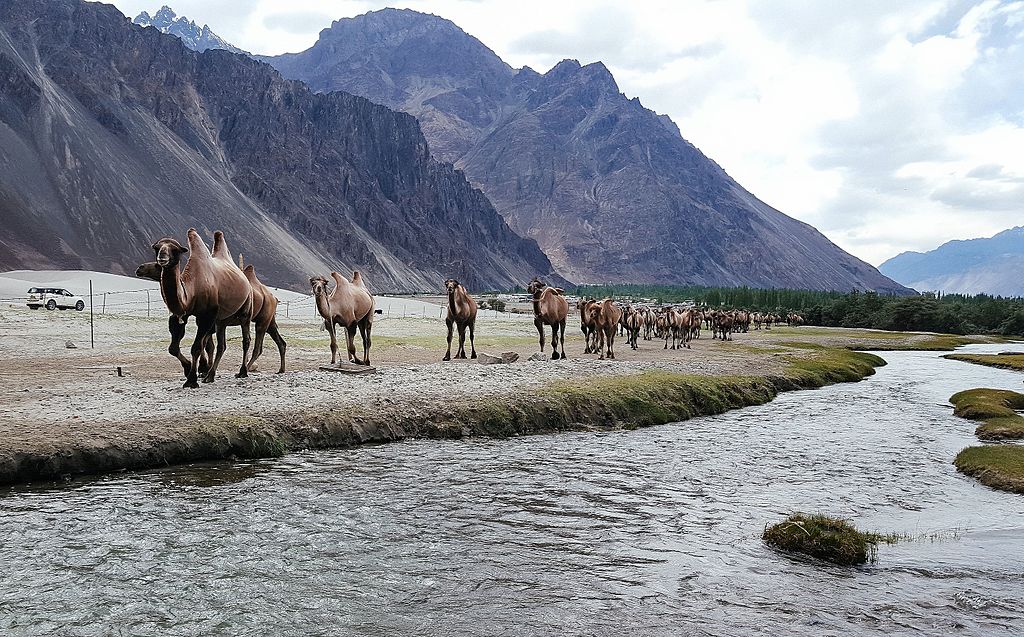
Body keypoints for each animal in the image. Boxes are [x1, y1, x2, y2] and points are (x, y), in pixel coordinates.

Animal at [152, 229, 254, 389]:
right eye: (157, 247)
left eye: (175, 250)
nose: (162, 257)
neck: (193, 287)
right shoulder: (180, 314)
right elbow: (173, 348)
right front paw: (189, 369)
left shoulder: (207, 315)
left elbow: (197, 347)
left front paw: (191, 380)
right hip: (222, 320)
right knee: (221, 345)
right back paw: (210, 376)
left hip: (246, 310)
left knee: (246, 340)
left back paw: (242, 372)